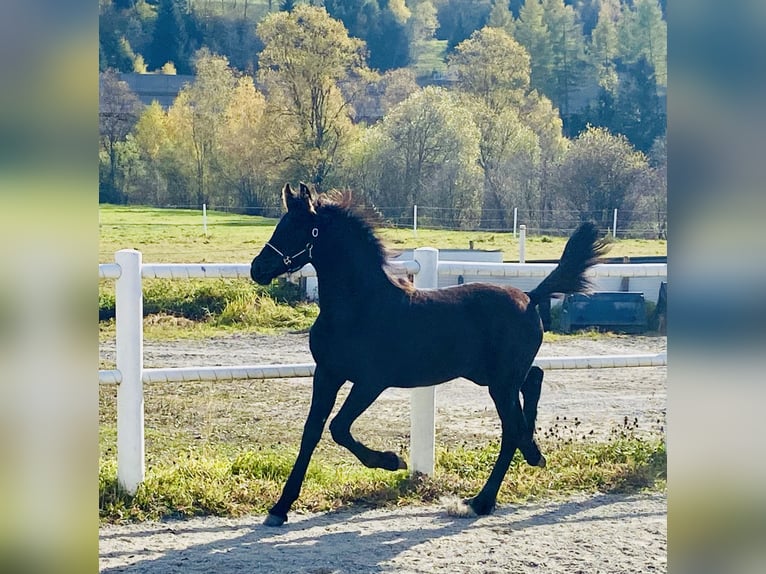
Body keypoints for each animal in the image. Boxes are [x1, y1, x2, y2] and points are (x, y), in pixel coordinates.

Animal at [250, 182, 608, 527]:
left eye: (299, 228)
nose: (258, 268)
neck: (359, 307)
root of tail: (530, 296)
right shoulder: (327, 374)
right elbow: (311, 432)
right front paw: (280, 508)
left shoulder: (370, 381)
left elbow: (338, 427)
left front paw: (392, 460)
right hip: (492, 376)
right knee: (533, 381)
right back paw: (531, 454)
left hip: (500, 383)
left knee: (511, 427)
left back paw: (483, 499)